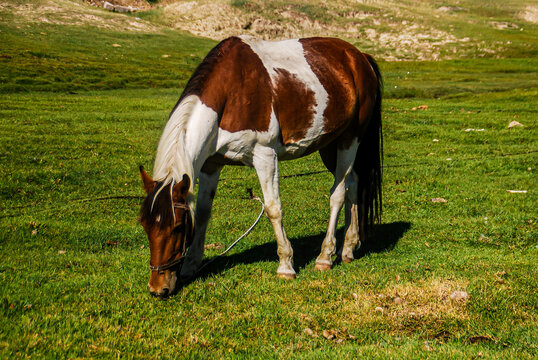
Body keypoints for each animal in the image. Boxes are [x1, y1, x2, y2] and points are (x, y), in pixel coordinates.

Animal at [138, 35, 382, 296]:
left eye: (177, 227)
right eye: (145, 224)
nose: (158, 288)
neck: (232, 92)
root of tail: (359, 57)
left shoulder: (264, 156)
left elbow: (273, 208)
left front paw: (286, 265)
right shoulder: (210, 165)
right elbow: (203, 211)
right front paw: (191, 265)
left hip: (349, 139)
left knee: (338, 194)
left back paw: (325, 256)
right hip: (330, 145)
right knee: (353, 184)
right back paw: (348, 248)